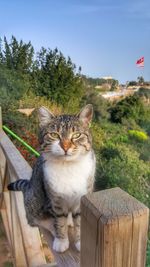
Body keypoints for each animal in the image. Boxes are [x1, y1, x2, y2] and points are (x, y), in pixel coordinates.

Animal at [7, 104, 95, 253]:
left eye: (76, 135)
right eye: (54, 135)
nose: (65, 147)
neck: (68, 167)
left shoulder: (82, 199)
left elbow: (80, 222)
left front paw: (79, 241)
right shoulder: (55, 201)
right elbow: (59, 222)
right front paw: (61, 240)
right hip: (34, 204)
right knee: (38, 221)